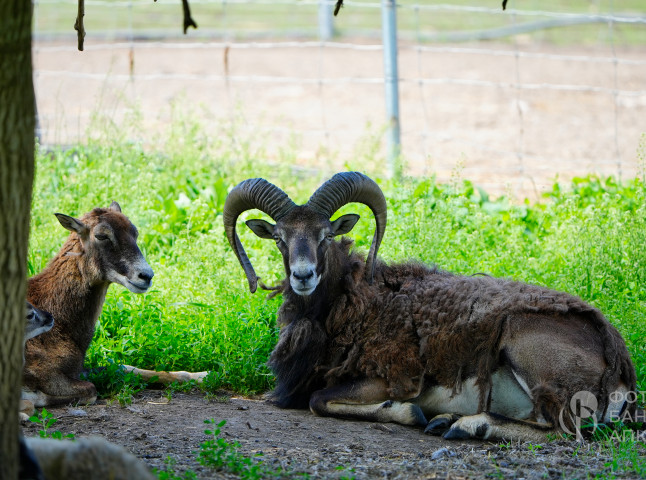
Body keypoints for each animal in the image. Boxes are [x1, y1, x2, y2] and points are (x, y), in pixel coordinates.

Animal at [222, 171, 637, 441]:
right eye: (279, 238)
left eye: (325, 235)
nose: (303, 275)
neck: (349, 304)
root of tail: (618, 361)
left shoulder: (387, 379)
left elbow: (318, 400)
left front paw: (410, 413)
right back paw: (447, 421)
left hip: (526, 348)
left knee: (562, 431)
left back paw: (463, 425)